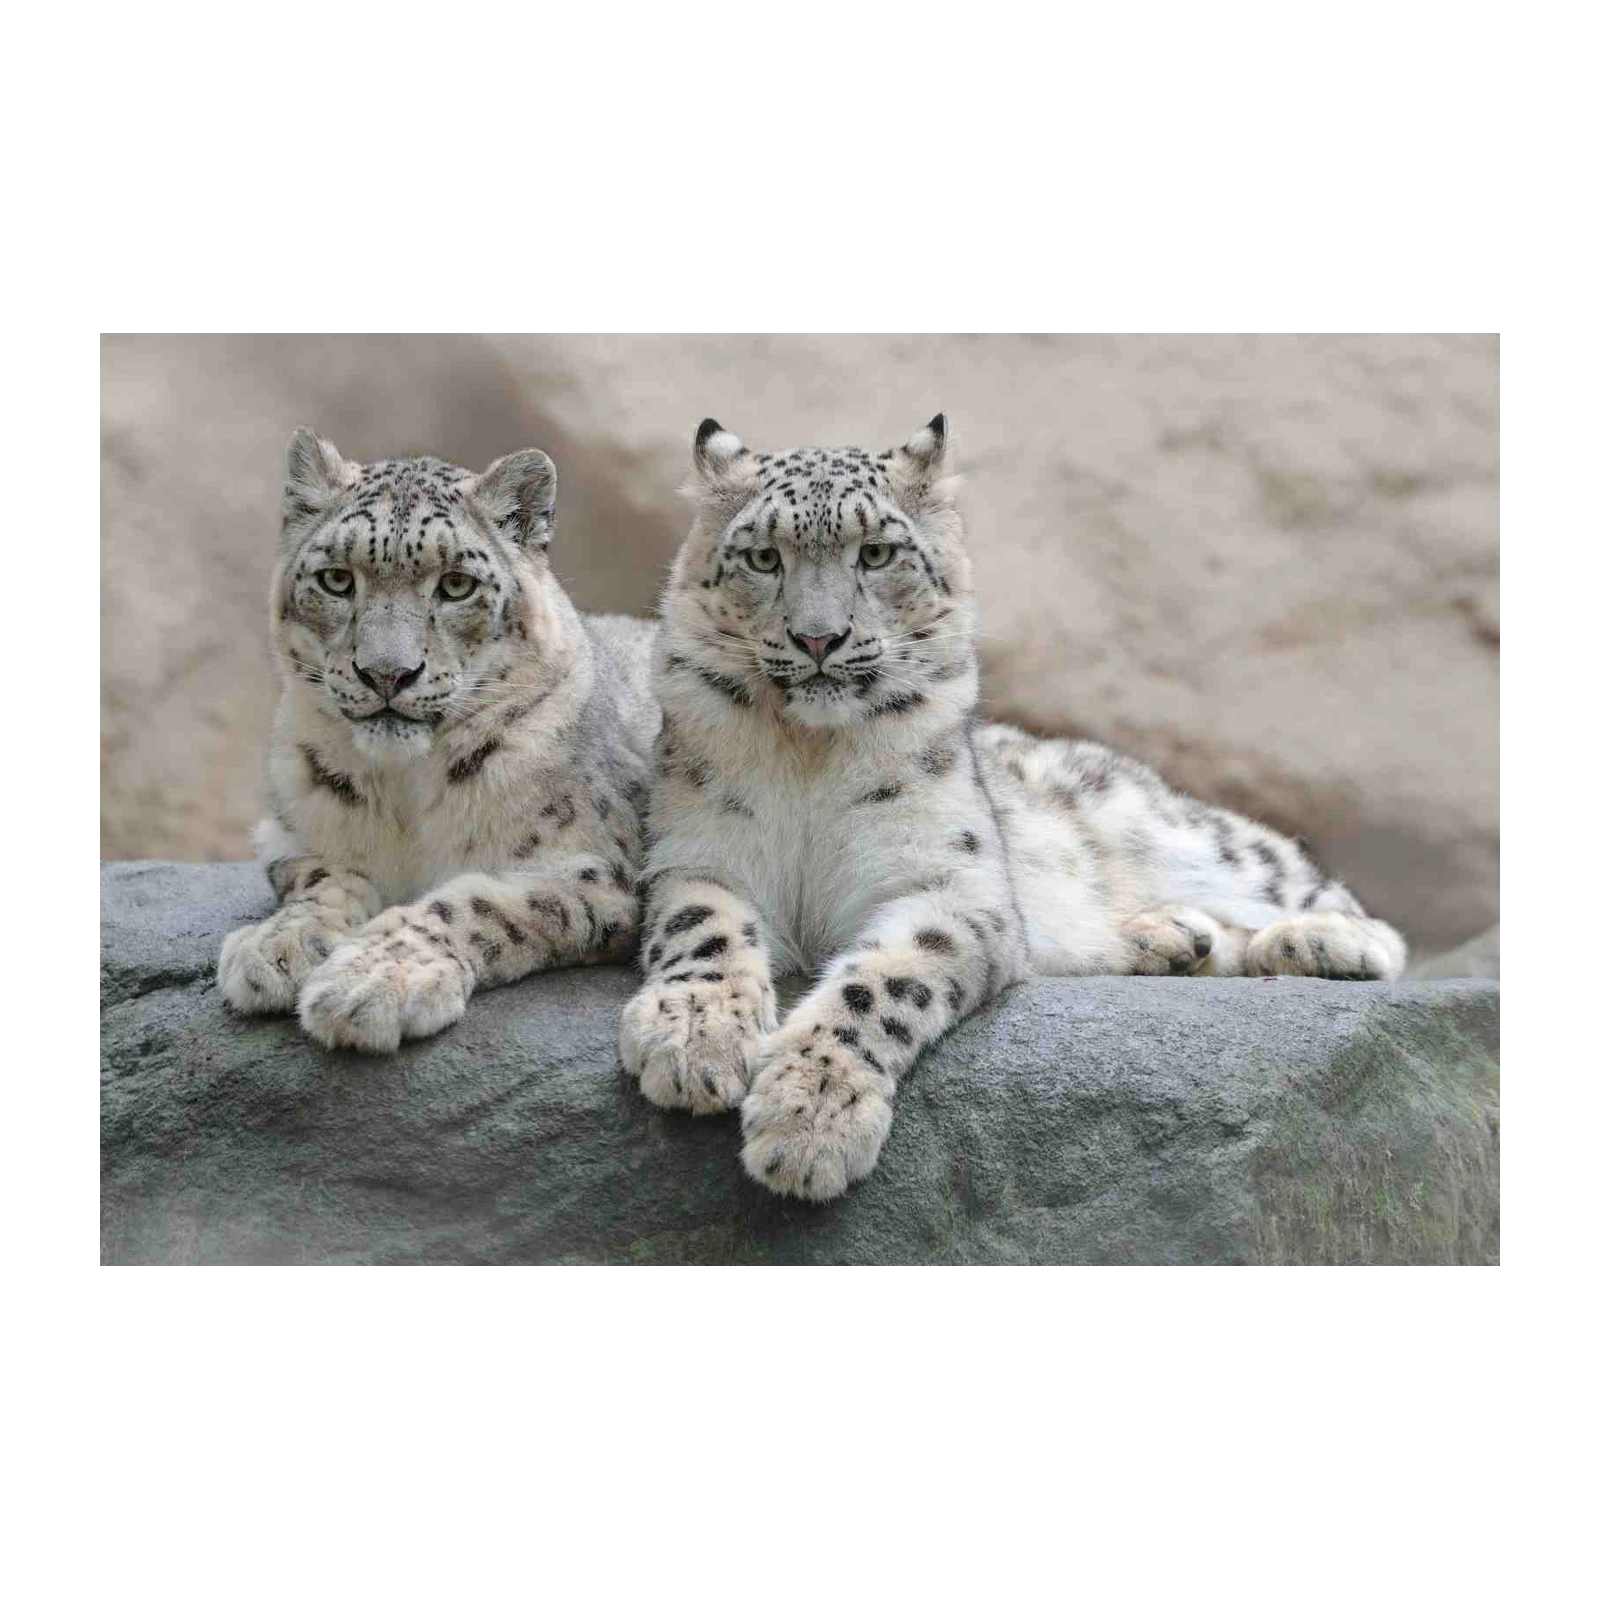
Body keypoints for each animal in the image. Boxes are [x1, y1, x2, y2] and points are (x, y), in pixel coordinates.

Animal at [216, 428, 658, 1054]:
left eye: (455, 585)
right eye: (336, 578)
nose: (386, 674)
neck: (402, 793)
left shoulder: (598, 870)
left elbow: (479, 904)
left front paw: (373, 981)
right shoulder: (289, 836)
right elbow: (324, 877)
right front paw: (276, 946)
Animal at [619, 414, 1407, 1201]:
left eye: (875, 552)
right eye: (762, 557)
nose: (819, 637)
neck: (811, 754)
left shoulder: (952, 885)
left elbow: (881, 984)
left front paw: (808, 1118)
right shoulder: (698, 853)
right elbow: (703, 932)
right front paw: (692, 1040)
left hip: (1176, 832)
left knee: (1312, 888)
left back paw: (1318, 942)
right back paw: (1170, 938)